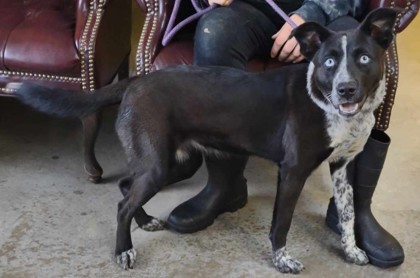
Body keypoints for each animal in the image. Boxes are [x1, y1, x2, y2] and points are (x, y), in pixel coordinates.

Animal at [9, 8, 398, 274]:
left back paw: (144, 220)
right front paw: (282, 260)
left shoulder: (342, 168)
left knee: (125, 187)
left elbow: (347, 214)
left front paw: (352, 250)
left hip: (171, 162)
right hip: (159, 164)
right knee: (122, 204)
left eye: (364, 57)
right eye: (329, 61)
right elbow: (281, 223)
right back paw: (124, 250)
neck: (322, 99)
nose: (345, 89)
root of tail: (134, 81)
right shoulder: (292, 171)